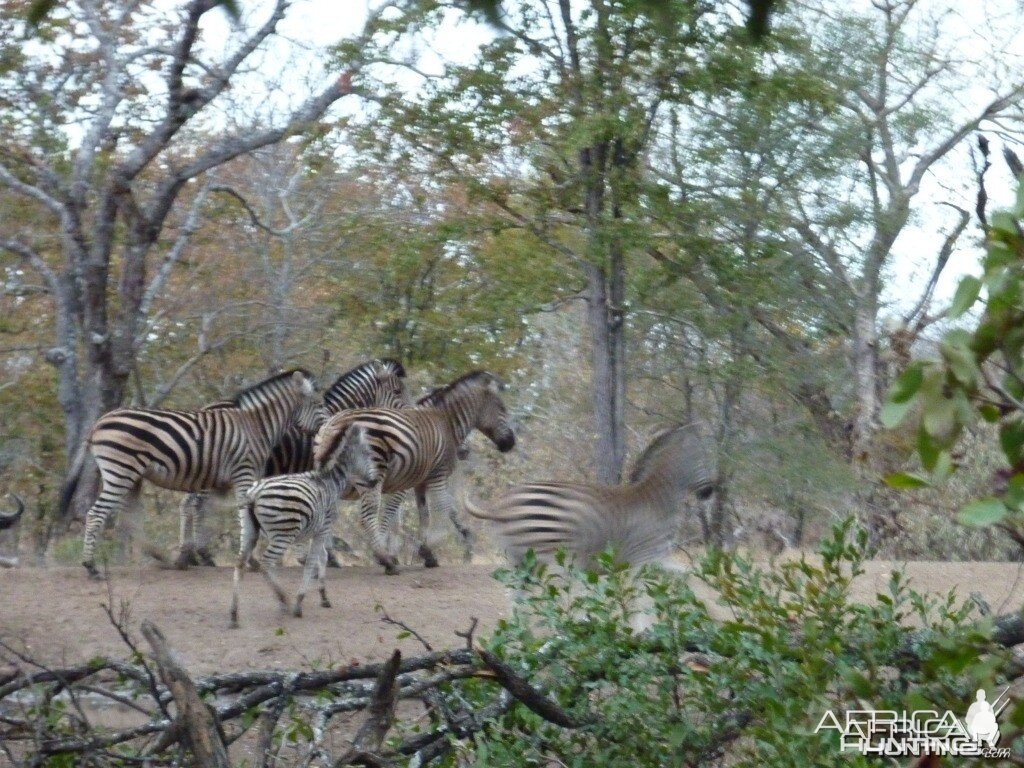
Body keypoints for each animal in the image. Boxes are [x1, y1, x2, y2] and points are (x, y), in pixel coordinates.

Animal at [62, 370, 319, 581]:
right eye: (318, 405)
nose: (322, 434)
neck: (255, 426)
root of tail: (98, 423)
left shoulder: (220, 482)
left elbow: (211, 514)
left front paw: (195, 554)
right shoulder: (243, 474)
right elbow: (247, 516)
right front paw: (249, 559)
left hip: (132, 476)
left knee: (131, 518)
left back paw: (162, 557)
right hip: (121, 471)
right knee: (96, 514)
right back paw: (91, 567)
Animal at [176, 358, 407, 569]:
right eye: (397, 391)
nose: (408, 417)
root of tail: (206, 406)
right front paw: (317, 555)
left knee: (190, 504)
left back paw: (195, 554)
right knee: (197, 506)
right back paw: (200, 554)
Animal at [230, 423, 378, 626]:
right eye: (367, 453)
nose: (375, 481)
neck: (330, 481)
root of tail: (254, 493)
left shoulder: (315, 531)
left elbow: (321, 557)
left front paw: (324, 596)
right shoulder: (322, 530)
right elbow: (311, 562)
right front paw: (300, 602)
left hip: (250, 530)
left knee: (239, 563)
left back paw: (234, 614)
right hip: (282, 534)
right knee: (266, 563)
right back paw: (284, 600)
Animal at [311, 370, 516, 573]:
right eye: (501, 408)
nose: (511, 443)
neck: (446, 422)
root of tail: (335, 422)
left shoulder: (419, 482)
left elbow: (424, 515)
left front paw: (427, 554)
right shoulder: (434, 475)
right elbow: (438, 508)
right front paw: (421, 549)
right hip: (371, 474)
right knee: (367, 516)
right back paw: (384, 560)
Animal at [460, 421, 716, 573]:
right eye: (704, 457)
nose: (711, 491)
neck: (657, 498)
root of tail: (502, 508)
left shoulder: (659, 559)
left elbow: (689, 577)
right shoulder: (640, 560)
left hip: (518, 562)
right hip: (553, 559)